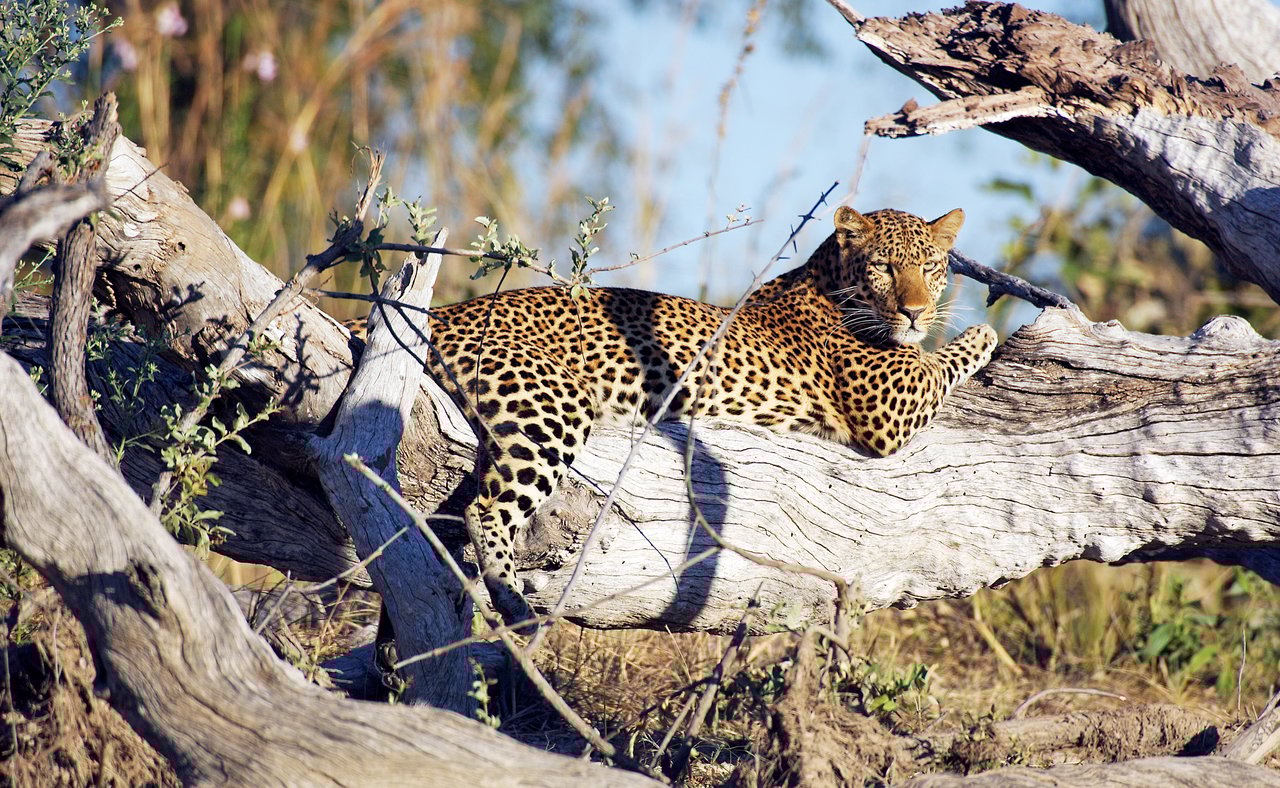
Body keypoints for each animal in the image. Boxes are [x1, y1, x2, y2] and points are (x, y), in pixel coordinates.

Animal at [414, 205, 999, 626]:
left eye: (930, 267)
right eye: (883, 267)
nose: (915, 311)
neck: (828, 279)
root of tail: (443, 311)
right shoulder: (892, 406)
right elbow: (947, 357)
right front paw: (981, 332)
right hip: (553, 407)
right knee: (486, 510)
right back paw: (513, 603)